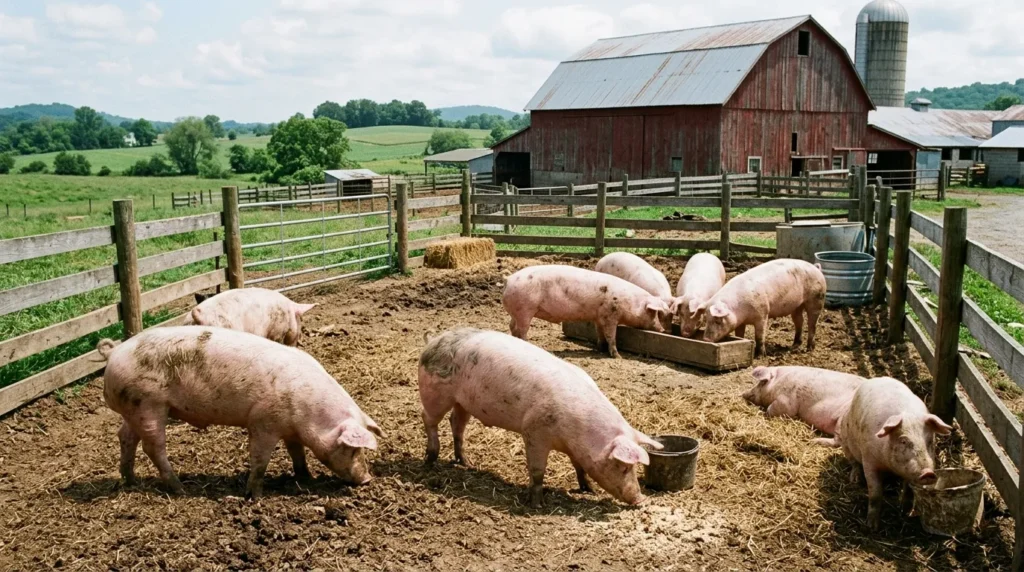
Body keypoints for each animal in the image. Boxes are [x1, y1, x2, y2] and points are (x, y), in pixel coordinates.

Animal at [97, 327, 383, 498]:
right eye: (352, 449)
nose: (367, 479)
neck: (309, 413)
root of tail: (115, 352)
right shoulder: (263, 423)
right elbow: (260, 460)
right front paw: (254, 496)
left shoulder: (290, 428)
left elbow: (297, 453)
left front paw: (306, 478)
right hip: (149, 405)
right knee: (152, 447)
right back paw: (180, 489)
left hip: (133, 409)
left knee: (125, 436)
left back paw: (131, 480)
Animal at [418, 328, 663, 507]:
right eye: (623, 467)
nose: (640, 499)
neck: (579, 434)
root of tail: (433, 340)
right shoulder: (534, 432)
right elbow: (537, 471)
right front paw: (537, 504)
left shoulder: (575, 448)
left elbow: (580, 467)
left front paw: (589, 490)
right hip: (435, 393)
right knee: (428, 419)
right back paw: (430, 460)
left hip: (463, 401)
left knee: (456, 423)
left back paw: (467, 463)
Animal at [502, 265, 672, 358]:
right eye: (652, 313)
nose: (662, 329)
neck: (629, 302)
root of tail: (509, 279)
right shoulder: (610, 315)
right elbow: (611, 336)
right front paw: (618, 357)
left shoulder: (599, 317)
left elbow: (600, 333)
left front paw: (600, 349)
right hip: (525, 310)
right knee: (521, 330)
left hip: (516, 312)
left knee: (512, 327)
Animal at [832, 377, 953, 529]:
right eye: (903, 441)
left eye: (930, 440)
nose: (928, 473)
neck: (890, 467)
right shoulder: (869, 460)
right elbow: (875, 493)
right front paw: (872, 526)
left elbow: (908, 491)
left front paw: (905, 512)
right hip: (845, 441)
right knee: (853, 462)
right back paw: (855, 479)